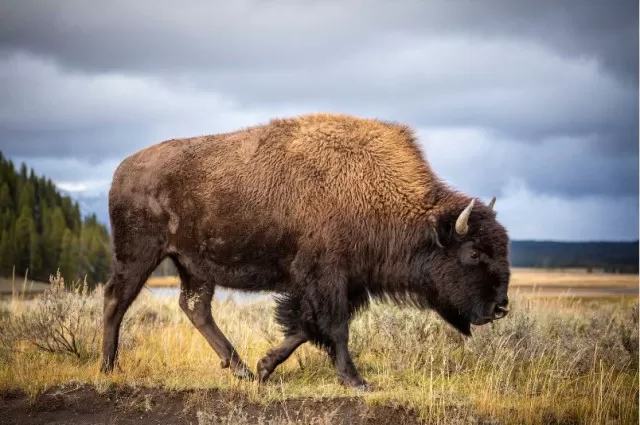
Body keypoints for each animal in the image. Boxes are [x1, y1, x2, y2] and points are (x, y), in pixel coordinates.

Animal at [100, 112, 510, 388]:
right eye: (474, 253)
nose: (501, 307)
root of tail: (121, 170)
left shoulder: (342, 283)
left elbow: (305, 327)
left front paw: (264, 367)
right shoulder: (327, 277)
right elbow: (333, 327)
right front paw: (355, 381)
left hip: (193, 266)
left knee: (195, 307)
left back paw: (241, 370)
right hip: (138, 255)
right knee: (116, 300)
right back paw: (108, 367)